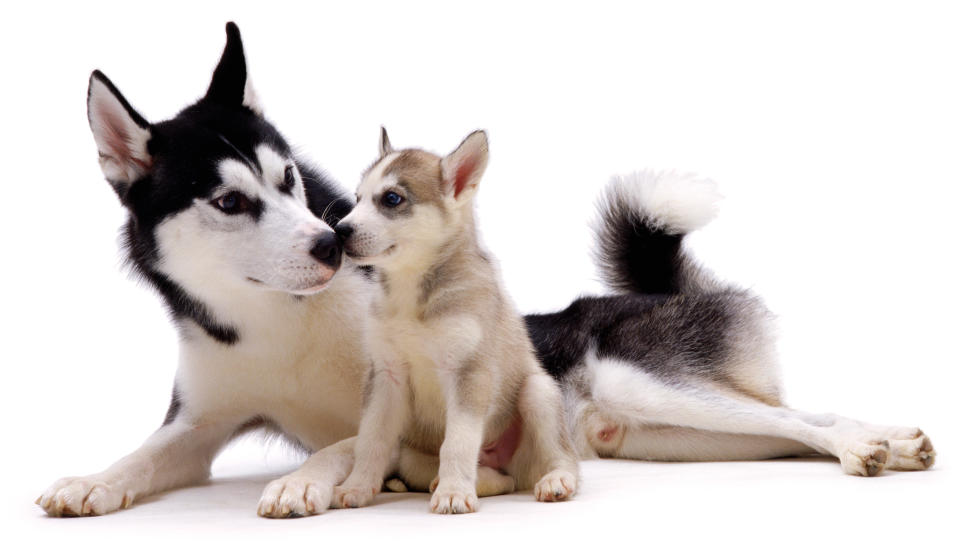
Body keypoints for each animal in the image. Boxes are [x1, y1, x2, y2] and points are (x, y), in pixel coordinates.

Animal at [330, 129, 576, 512]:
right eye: (357, 199)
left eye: (391, 198)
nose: (339, 230)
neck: (410, 294)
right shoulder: (386, 376)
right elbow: (371, 439)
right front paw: (357, 486)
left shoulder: (468, 372)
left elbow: (458, 442)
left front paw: (454, 493)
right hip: (413, 455)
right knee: (501, 479)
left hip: (537, 392)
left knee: (562, 457)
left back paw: (556, 480)